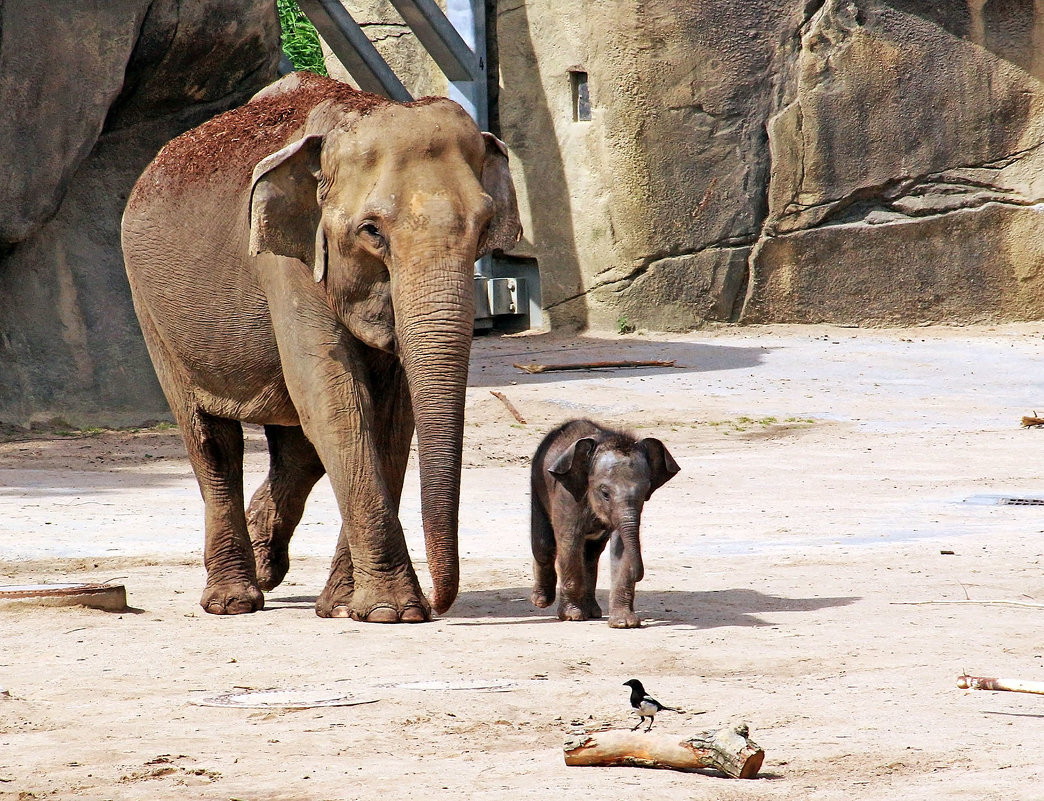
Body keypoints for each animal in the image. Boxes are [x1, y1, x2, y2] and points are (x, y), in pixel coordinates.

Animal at [121, 72, 522, 622]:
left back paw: (267, 567)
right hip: (151, 311)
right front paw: (392, 611)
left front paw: (345, 607)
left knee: (296, 447)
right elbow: (338, 404)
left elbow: (390, 418)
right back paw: (233, 601)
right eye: (372, 230)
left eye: (484, 228)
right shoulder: (287, 263)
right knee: (211, 439)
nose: (440, 603)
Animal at [530, 417, 676, 630]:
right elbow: (570, 541)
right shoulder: (568, 495)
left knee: (591, 554)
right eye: (605, 493)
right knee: (544, 546)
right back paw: (541, 601)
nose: (638, 574)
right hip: (537, 483)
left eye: (645, 493)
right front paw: (572, 616)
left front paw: (624, 623)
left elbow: (621, 547)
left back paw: (592, 612)